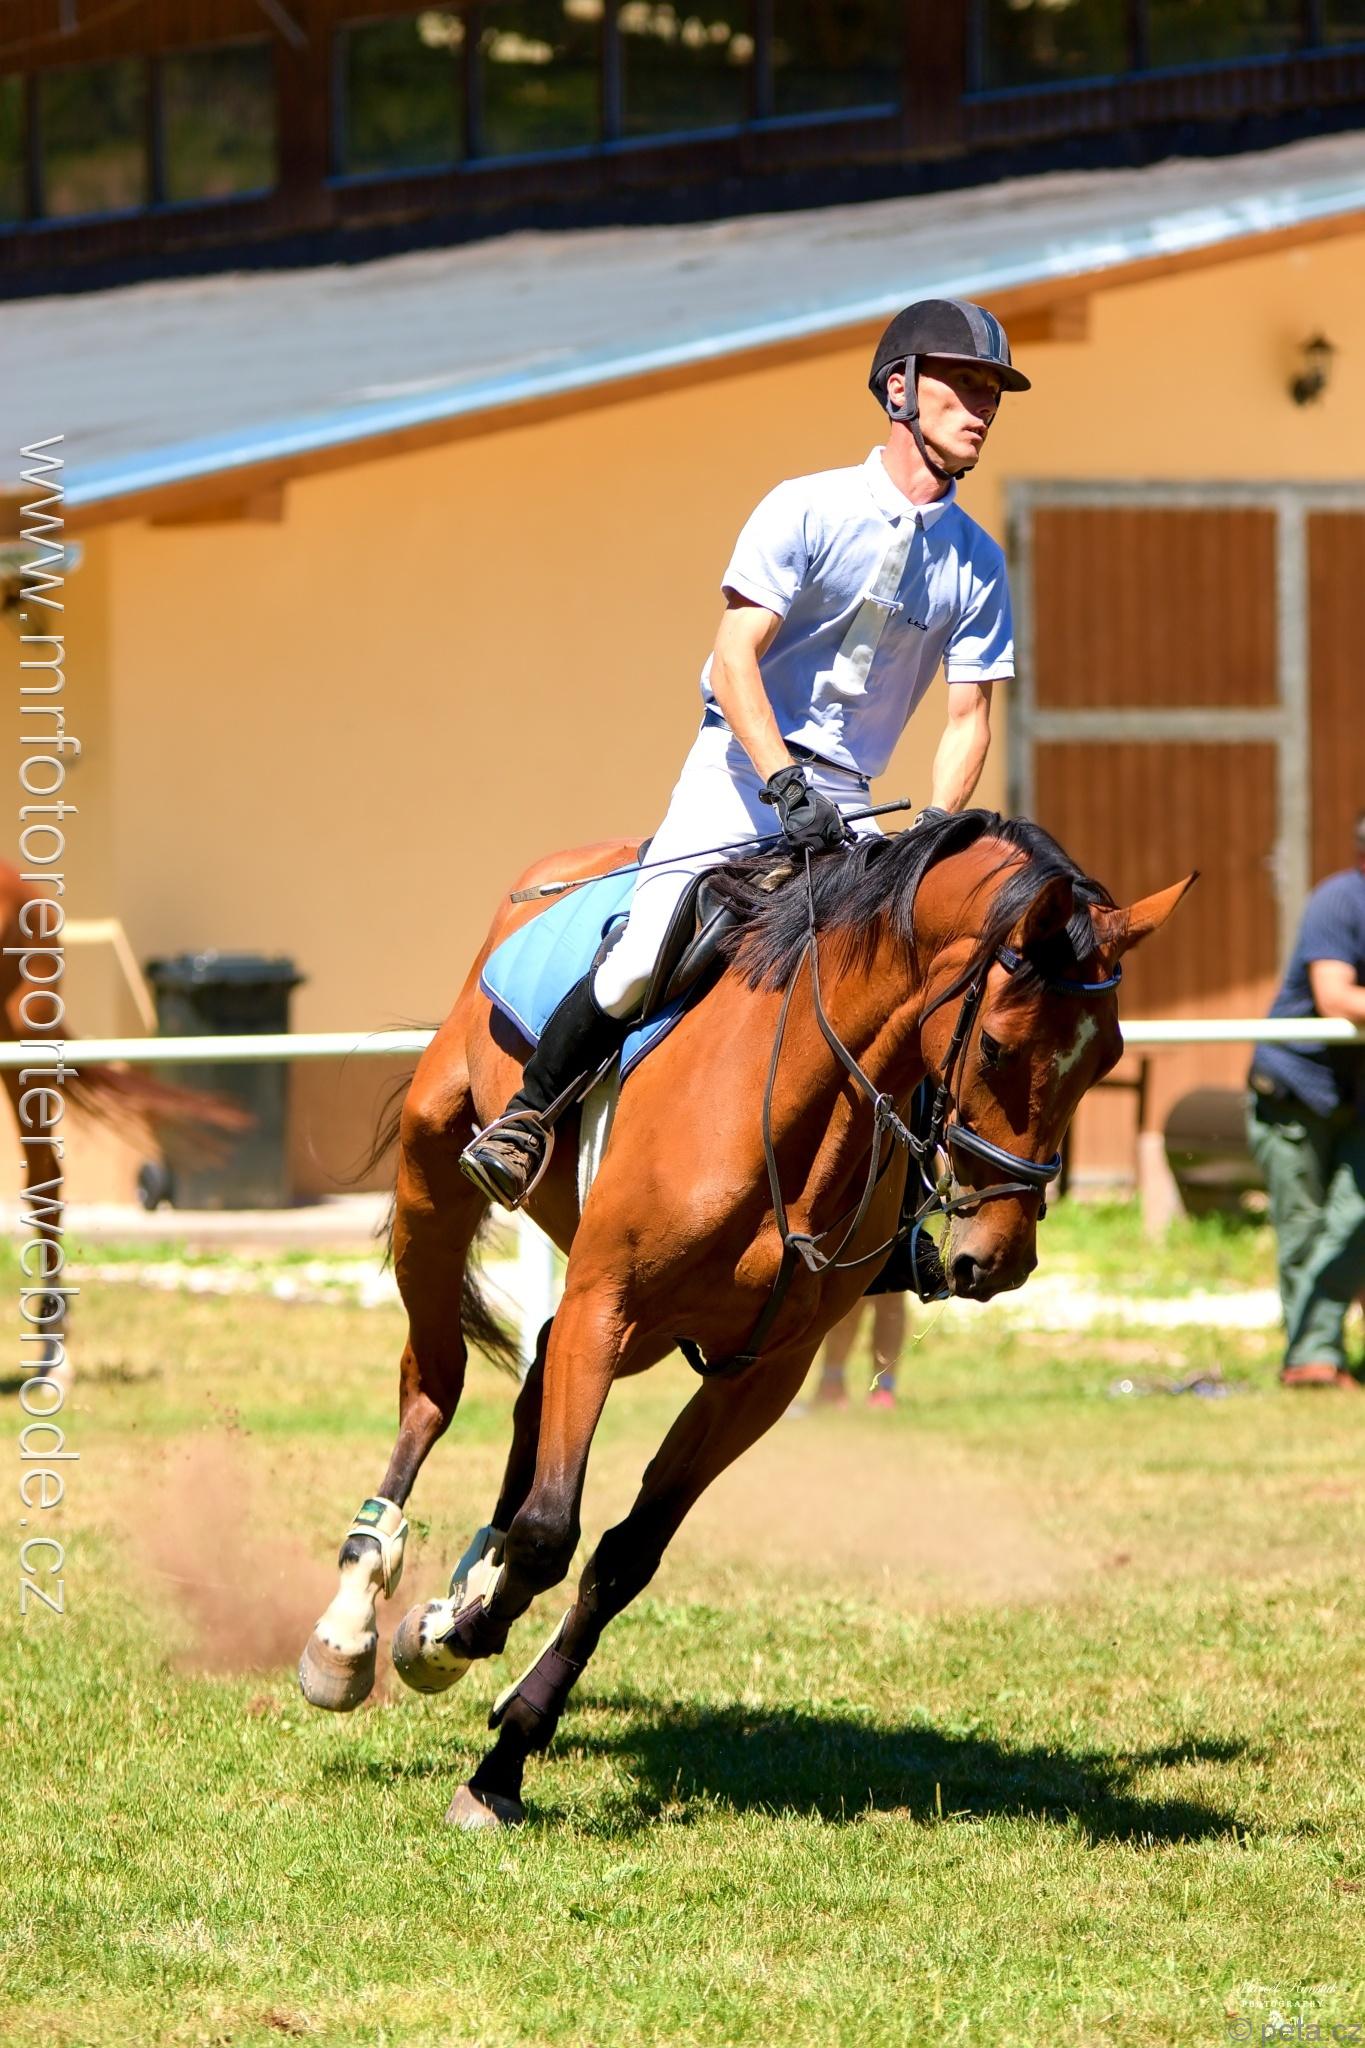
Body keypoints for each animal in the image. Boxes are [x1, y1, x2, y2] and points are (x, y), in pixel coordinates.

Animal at [298, 810, 1191, 1828]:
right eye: (999, 1046)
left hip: (648, 1328)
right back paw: (350, 1625)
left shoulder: (761, 1371)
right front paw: (448, 1646)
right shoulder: (608, 1303)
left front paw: (504, 1743)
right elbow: (551, 1531)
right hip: (436, 1186)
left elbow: (622, 1556)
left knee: (531, 1391)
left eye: (1107, 1058)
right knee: (432, 1389)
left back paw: (459, 1591)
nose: (998, 1260)